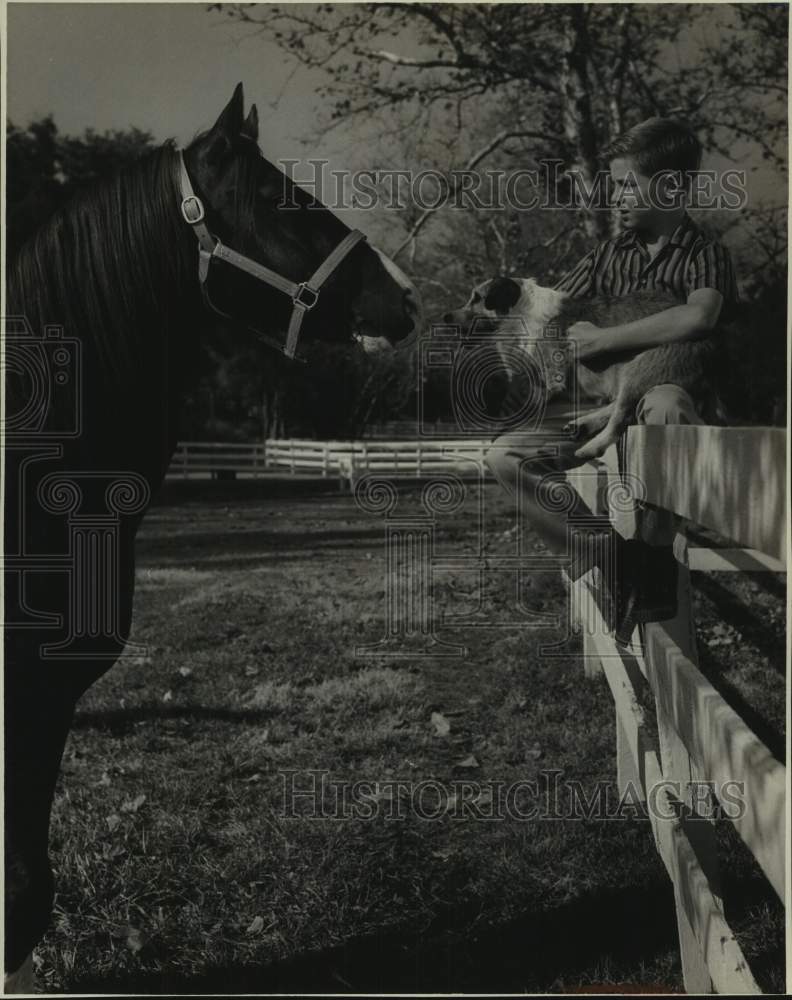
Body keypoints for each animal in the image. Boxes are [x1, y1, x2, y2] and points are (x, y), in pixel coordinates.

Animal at [442, 276, 720, 458]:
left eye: (477, 298)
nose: (445, 316)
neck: (523, 315)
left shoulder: (550, 380)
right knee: (617, 405)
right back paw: (582, 423)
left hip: (640, 368)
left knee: (620, 417)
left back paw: (591, 446)